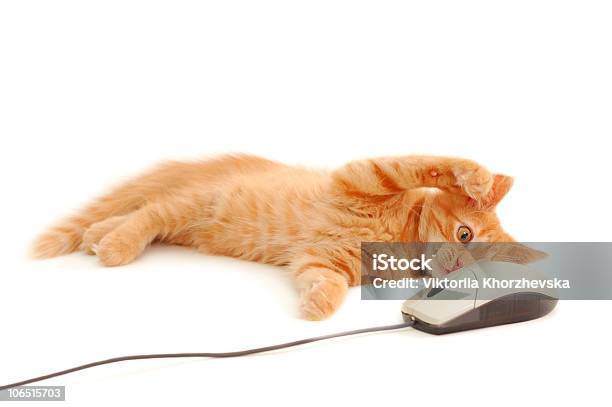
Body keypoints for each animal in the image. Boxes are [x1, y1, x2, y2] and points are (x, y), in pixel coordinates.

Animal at [33, 155, 536, 320]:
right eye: (464, 234)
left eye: (480, 267)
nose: (458, 266)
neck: (401, 237)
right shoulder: (367, 175)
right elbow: (428, 163)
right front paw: (472, 176)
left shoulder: (325, 260)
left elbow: (324, 280)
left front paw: (317, 304)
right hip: (194, 204)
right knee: (146, 213)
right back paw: (114, 245)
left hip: (190, 221)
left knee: (141, 213)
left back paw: (98, 235)